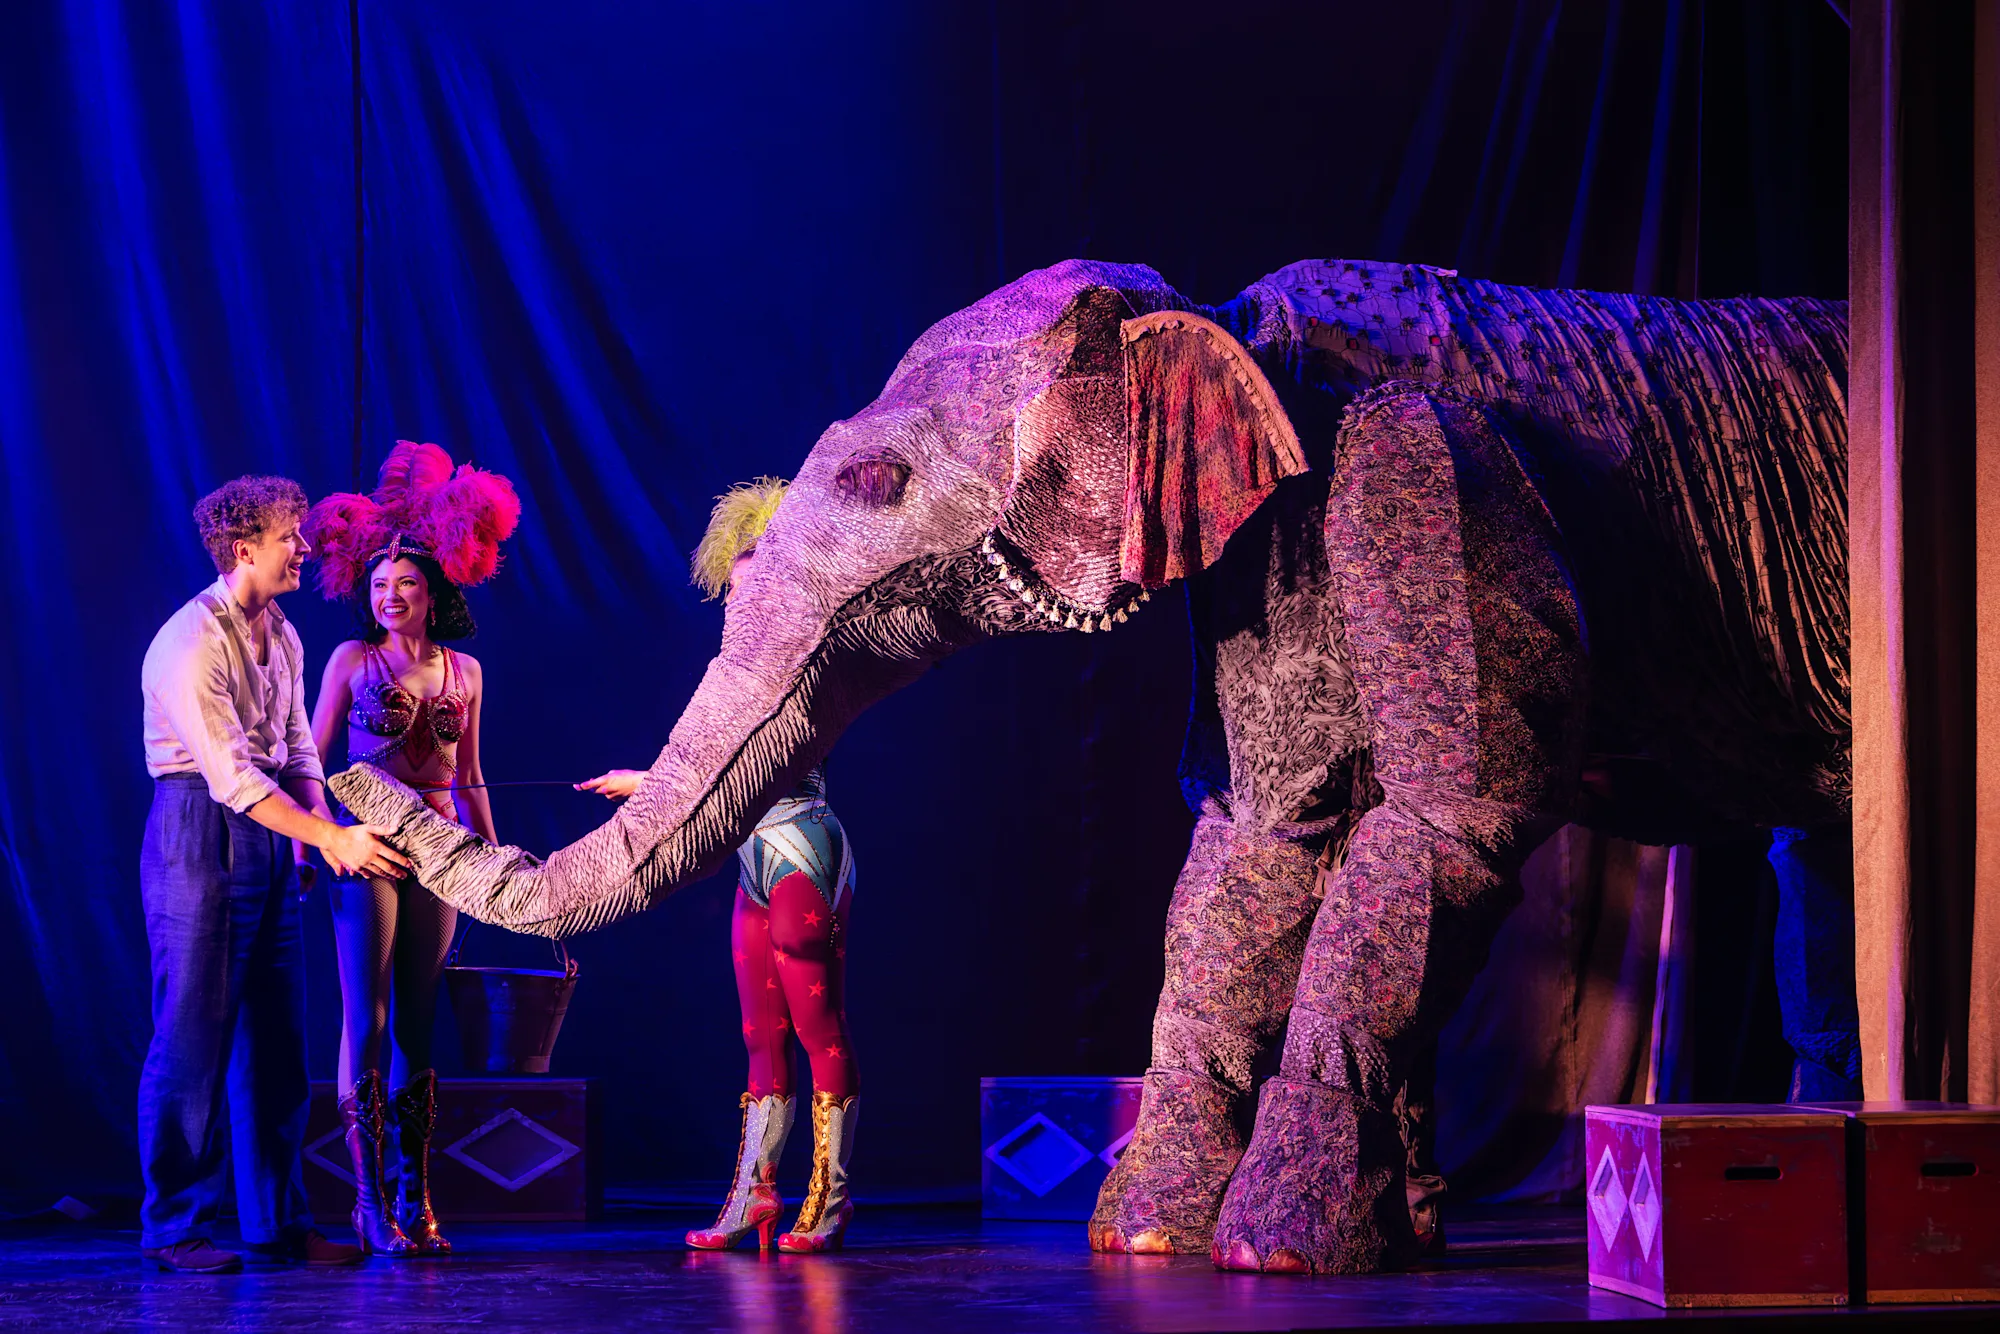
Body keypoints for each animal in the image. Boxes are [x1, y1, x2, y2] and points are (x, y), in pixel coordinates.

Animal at [330, 256, 1849, 1273]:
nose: (352, 787)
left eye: (877, 484)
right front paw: (1149, 1239)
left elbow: (1450, 813)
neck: (1228, 329)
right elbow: (1261, 827)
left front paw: (1270, 1252)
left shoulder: (1425, 466)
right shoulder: (1259, 555)